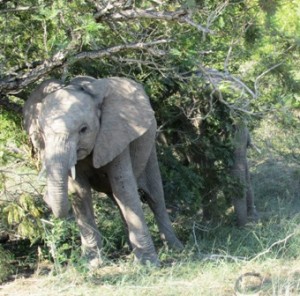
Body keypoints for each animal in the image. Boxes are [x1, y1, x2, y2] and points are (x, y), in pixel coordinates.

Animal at [22, 75, 183, 266]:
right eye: (42, 133)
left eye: (83, 129)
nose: (45, 198)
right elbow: (80, 193)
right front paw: (92, 263)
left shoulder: (116, 135)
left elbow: (124, 189)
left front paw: (148, 264)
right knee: (118, 201)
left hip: (150, 149)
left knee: (154, 197)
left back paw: (176, 249)